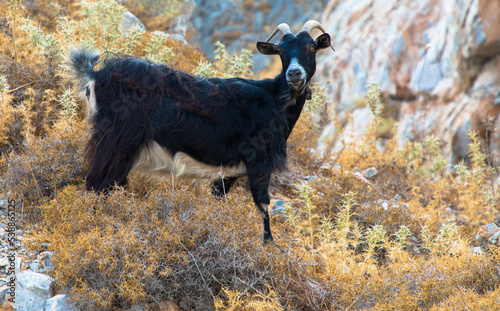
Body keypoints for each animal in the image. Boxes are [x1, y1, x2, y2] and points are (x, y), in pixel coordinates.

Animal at [66, 20, 332, 243]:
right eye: (281, 51)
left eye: (311, 46)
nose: (294, 74)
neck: (274, 98)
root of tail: (95, 75)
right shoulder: (258, 160)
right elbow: (263, 204)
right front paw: (269, 245)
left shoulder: (228, 172)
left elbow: (219, 199)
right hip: (115, 141)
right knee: (98, 184)